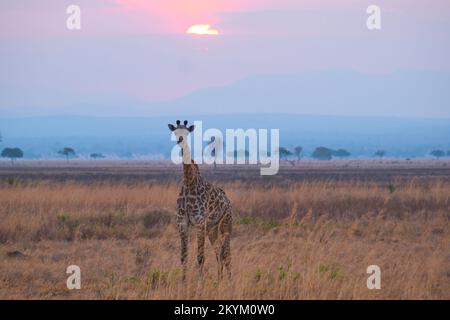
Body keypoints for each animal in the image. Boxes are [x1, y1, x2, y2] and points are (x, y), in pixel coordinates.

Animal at [168, 120, 232, 280]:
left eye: (187, 133)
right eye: (175, 132)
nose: (180, 141)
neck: (189, 182)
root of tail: (228, 201)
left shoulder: (199, 223)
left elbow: (200, 257)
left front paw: (199, 283)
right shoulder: (182, 222)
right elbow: (183, 256)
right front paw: (183, 282)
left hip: (226, 225)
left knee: (226, 254)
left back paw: (229, 281)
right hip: (212, 228)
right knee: (218, 252)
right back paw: (219, 280)